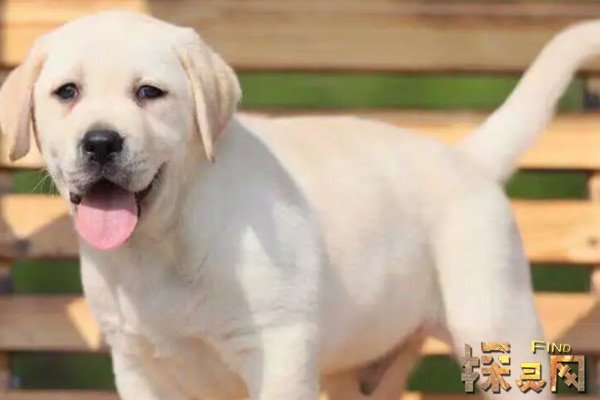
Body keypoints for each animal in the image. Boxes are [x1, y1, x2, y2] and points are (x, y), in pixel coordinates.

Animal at [0, 10, 595, 400]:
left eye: (149, 93)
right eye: (67, 92)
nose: (101, 143)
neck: (164, 243)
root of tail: (467, 156)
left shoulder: (277, 352)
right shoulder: (137, 364)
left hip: (495, 319)